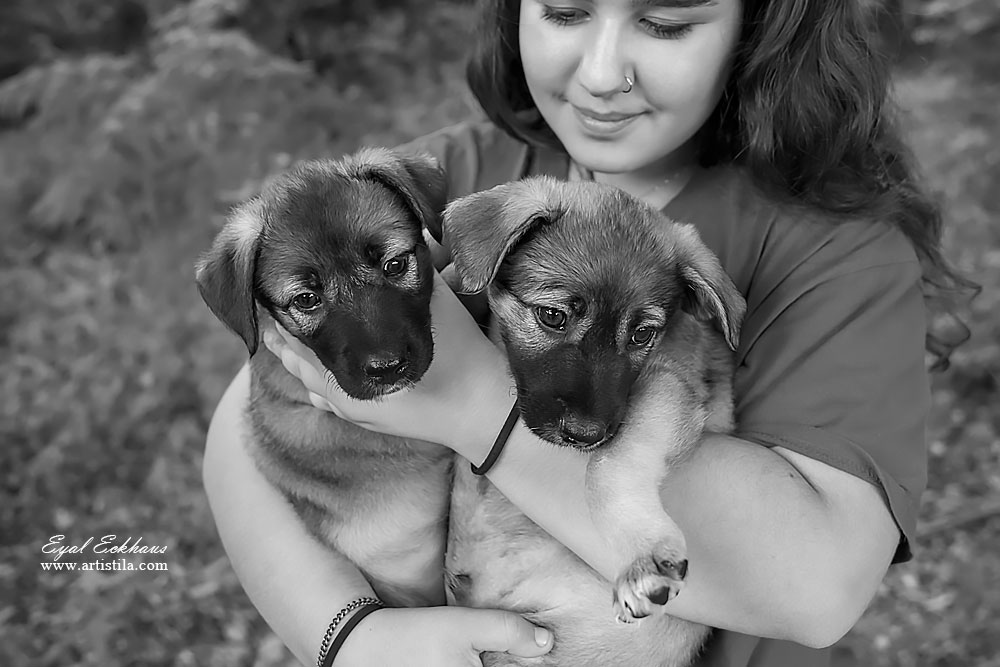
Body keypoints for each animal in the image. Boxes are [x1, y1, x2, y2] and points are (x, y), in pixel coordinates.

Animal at [436, 177, 744, 667]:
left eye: (642, 335)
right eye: (553, 315)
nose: (585, 435)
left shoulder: (669, 386)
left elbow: (607, 469)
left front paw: (643, 556)